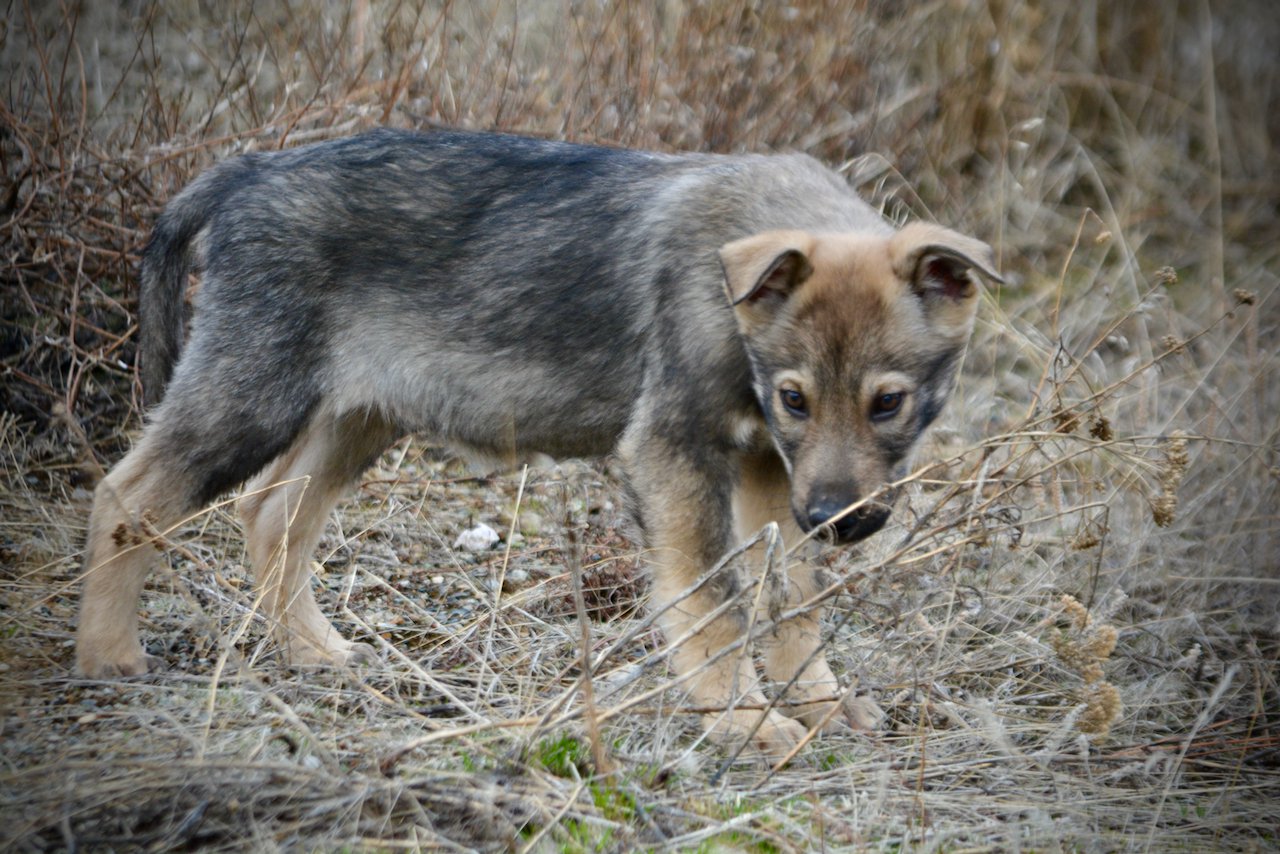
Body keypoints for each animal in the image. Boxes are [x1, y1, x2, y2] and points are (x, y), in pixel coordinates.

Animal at [77, 126, 998, 752]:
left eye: (889, 403)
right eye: (796, 397)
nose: (841, 520)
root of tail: (247, 173)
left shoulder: (771, 469)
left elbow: (789, 599)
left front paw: (817, 703)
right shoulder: (677, 449)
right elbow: (714, 603)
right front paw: (748, 722)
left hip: (356, 416)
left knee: (272, 516)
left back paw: (317, 654)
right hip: (251, 394)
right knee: (129, 494)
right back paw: (109, 657)